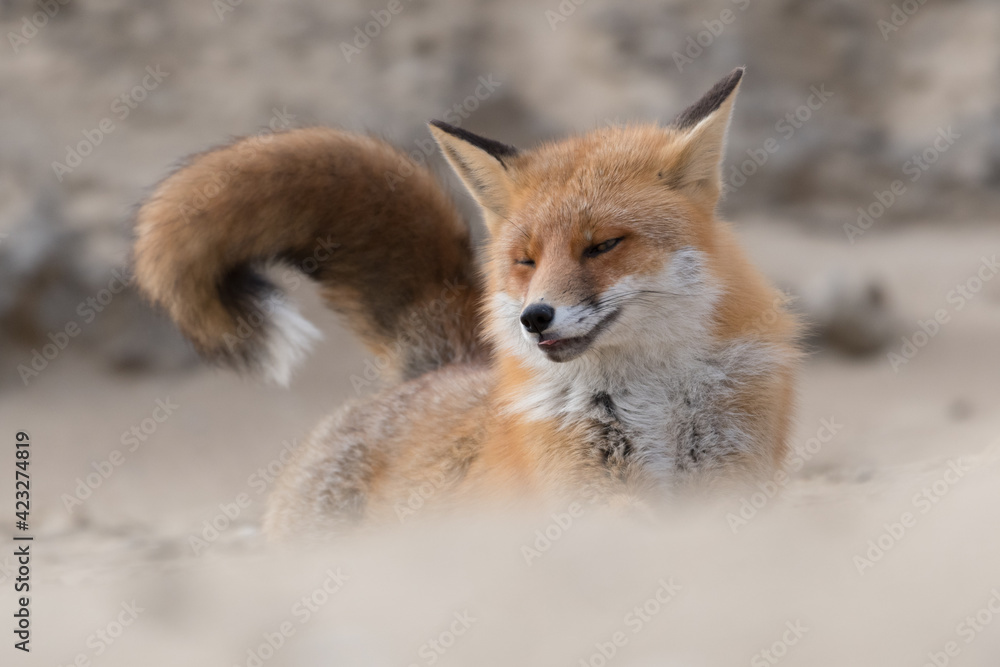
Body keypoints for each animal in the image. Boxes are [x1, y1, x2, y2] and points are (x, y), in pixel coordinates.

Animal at [133, 69, 800, 536]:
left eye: (603, 245)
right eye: (525, 260)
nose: (535, 317)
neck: (650, 399)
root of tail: (435, 367)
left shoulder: (730, 475)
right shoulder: (578, 486)